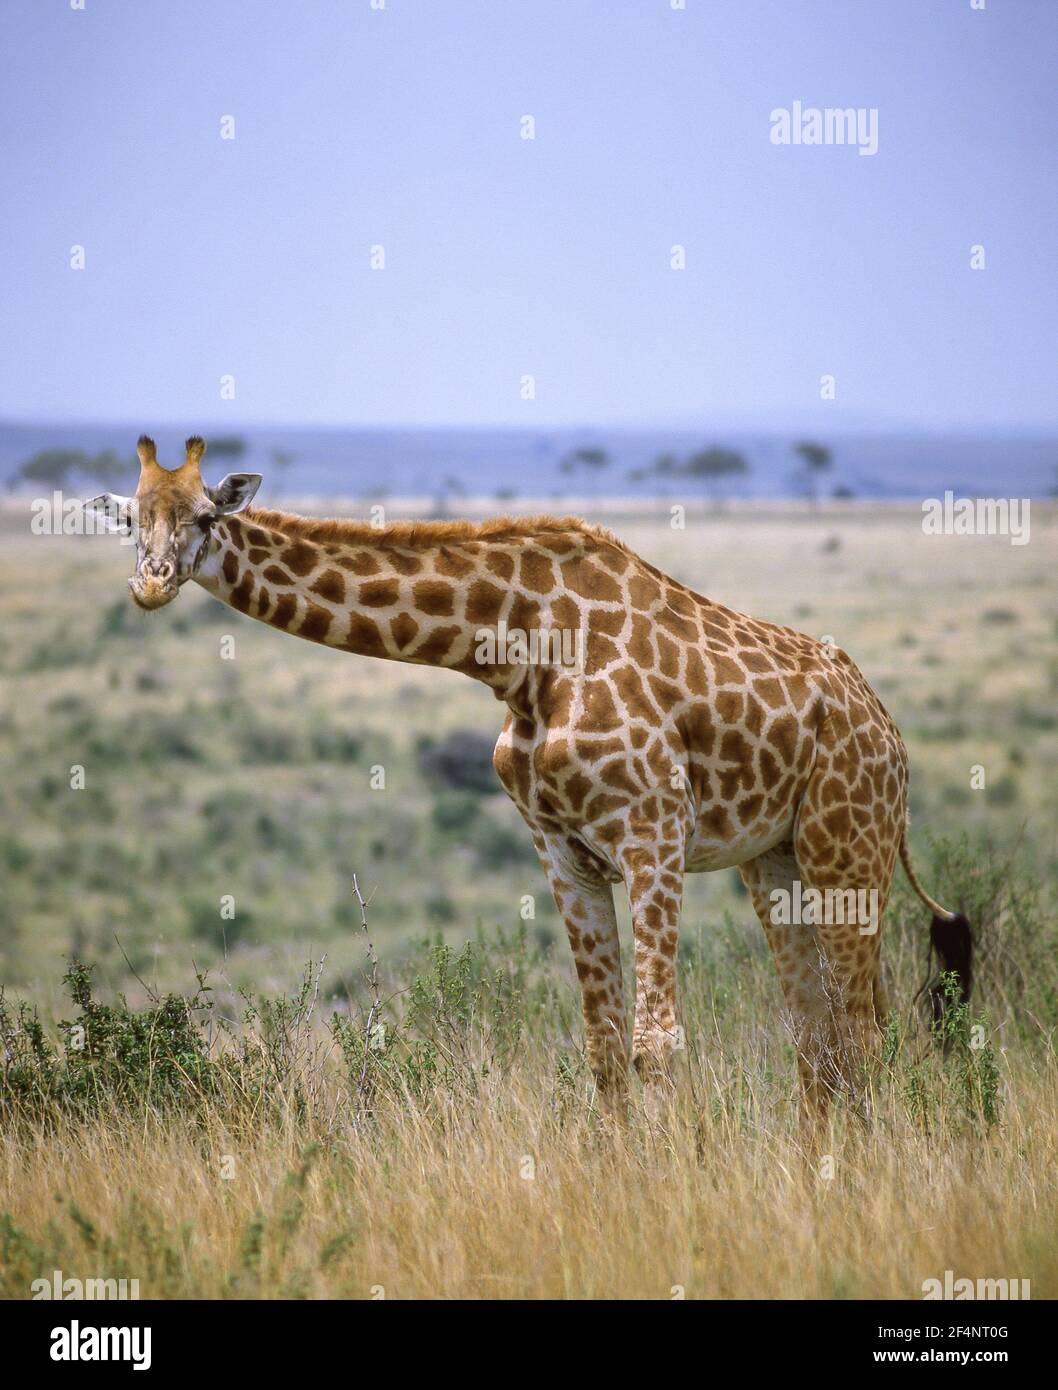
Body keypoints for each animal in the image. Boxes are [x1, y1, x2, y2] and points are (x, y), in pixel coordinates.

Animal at [88, 436, 972, 1120]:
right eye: (132, 520)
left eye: (206, 516)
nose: (150, 583)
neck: (517, 650)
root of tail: (888, 728)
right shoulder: (560, 848)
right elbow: (604, 1047)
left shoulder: (652, 834)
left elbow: (657, 1042)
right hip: (775, 859)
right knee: (816, 1031)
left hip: (846, 847)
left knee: (864, 1028)